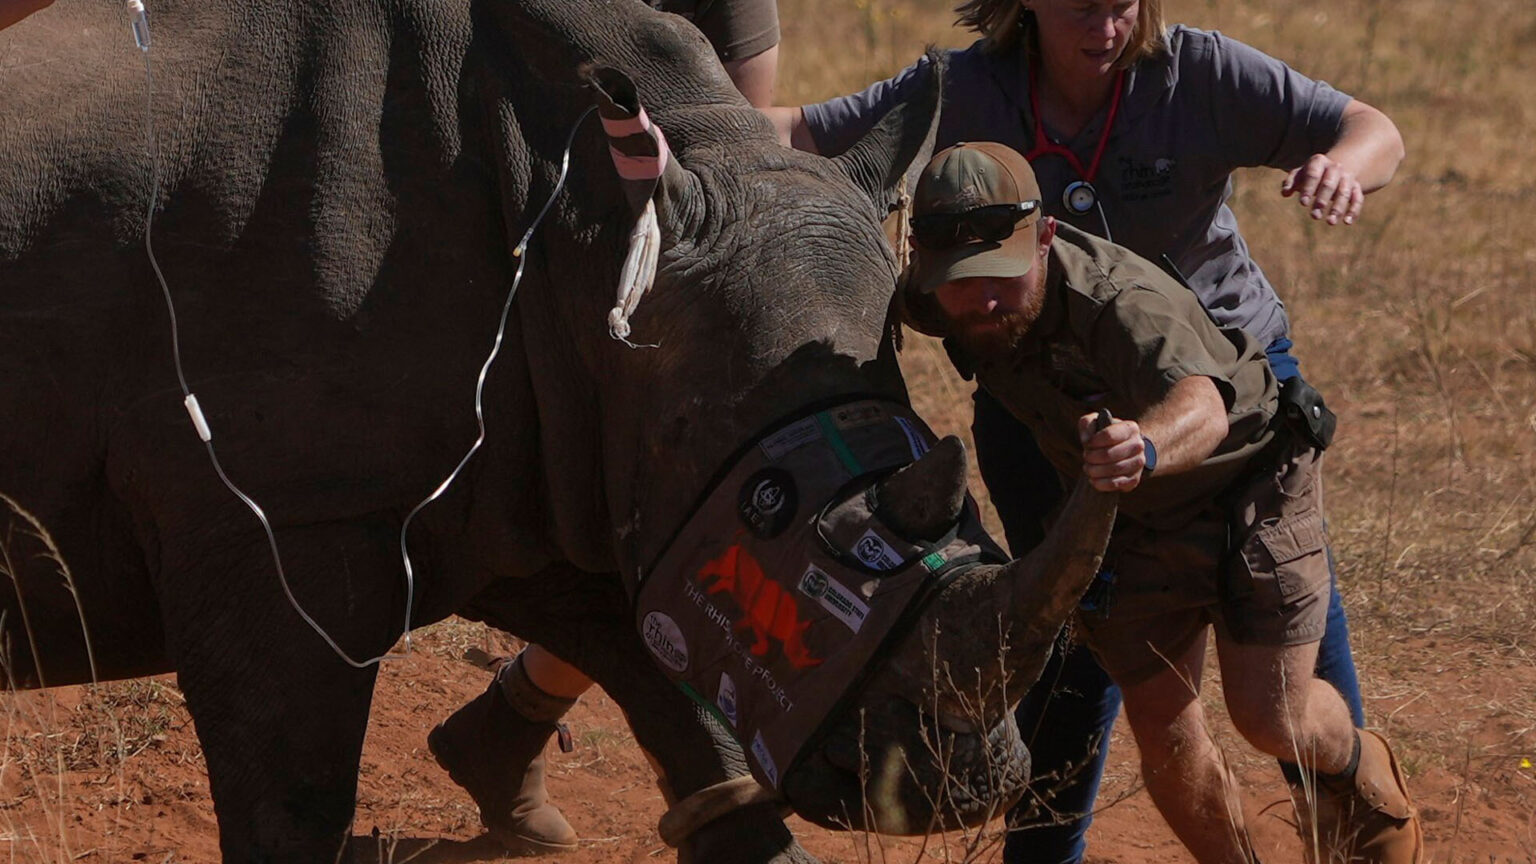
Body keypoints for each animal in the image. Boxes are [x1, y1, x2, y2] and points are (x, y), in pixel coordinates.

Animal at [0, 0, 1116, 860]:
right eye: (775, 508)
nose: (960, 788)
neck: (574, 213)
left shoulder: (584, 478)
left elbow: (701, 738)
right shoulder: (288, 514)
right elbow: (294, 805)